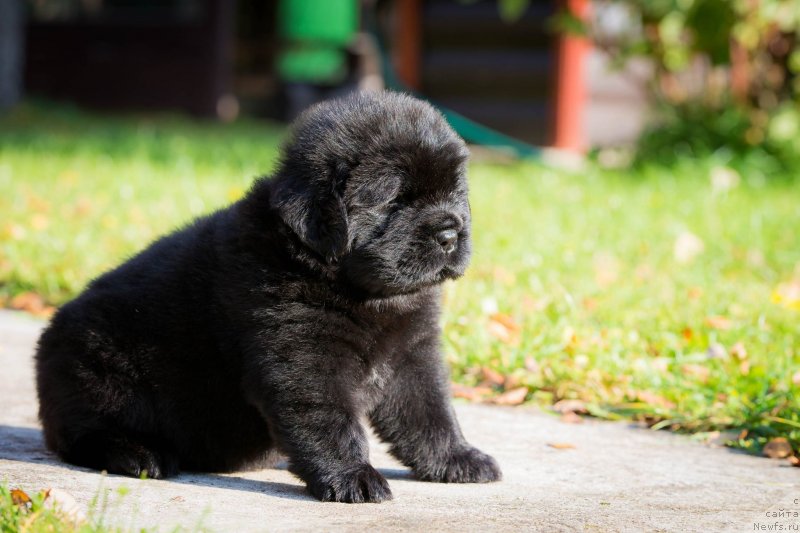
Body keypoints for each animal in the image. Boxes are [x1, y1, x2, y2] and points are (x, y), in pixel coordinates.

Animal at [37, 89, 504, 500]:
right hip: (103, 376)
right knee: (79, 436)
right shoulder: (303, 356)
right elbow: (329, 419)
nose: (450, 234)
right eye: (394, 199)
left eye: (455, 191)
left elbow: (431, 413)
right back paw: (138, 454)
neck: (365, 292)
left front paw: (458, 459)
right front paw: (352, 477)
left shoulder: (412, 354)